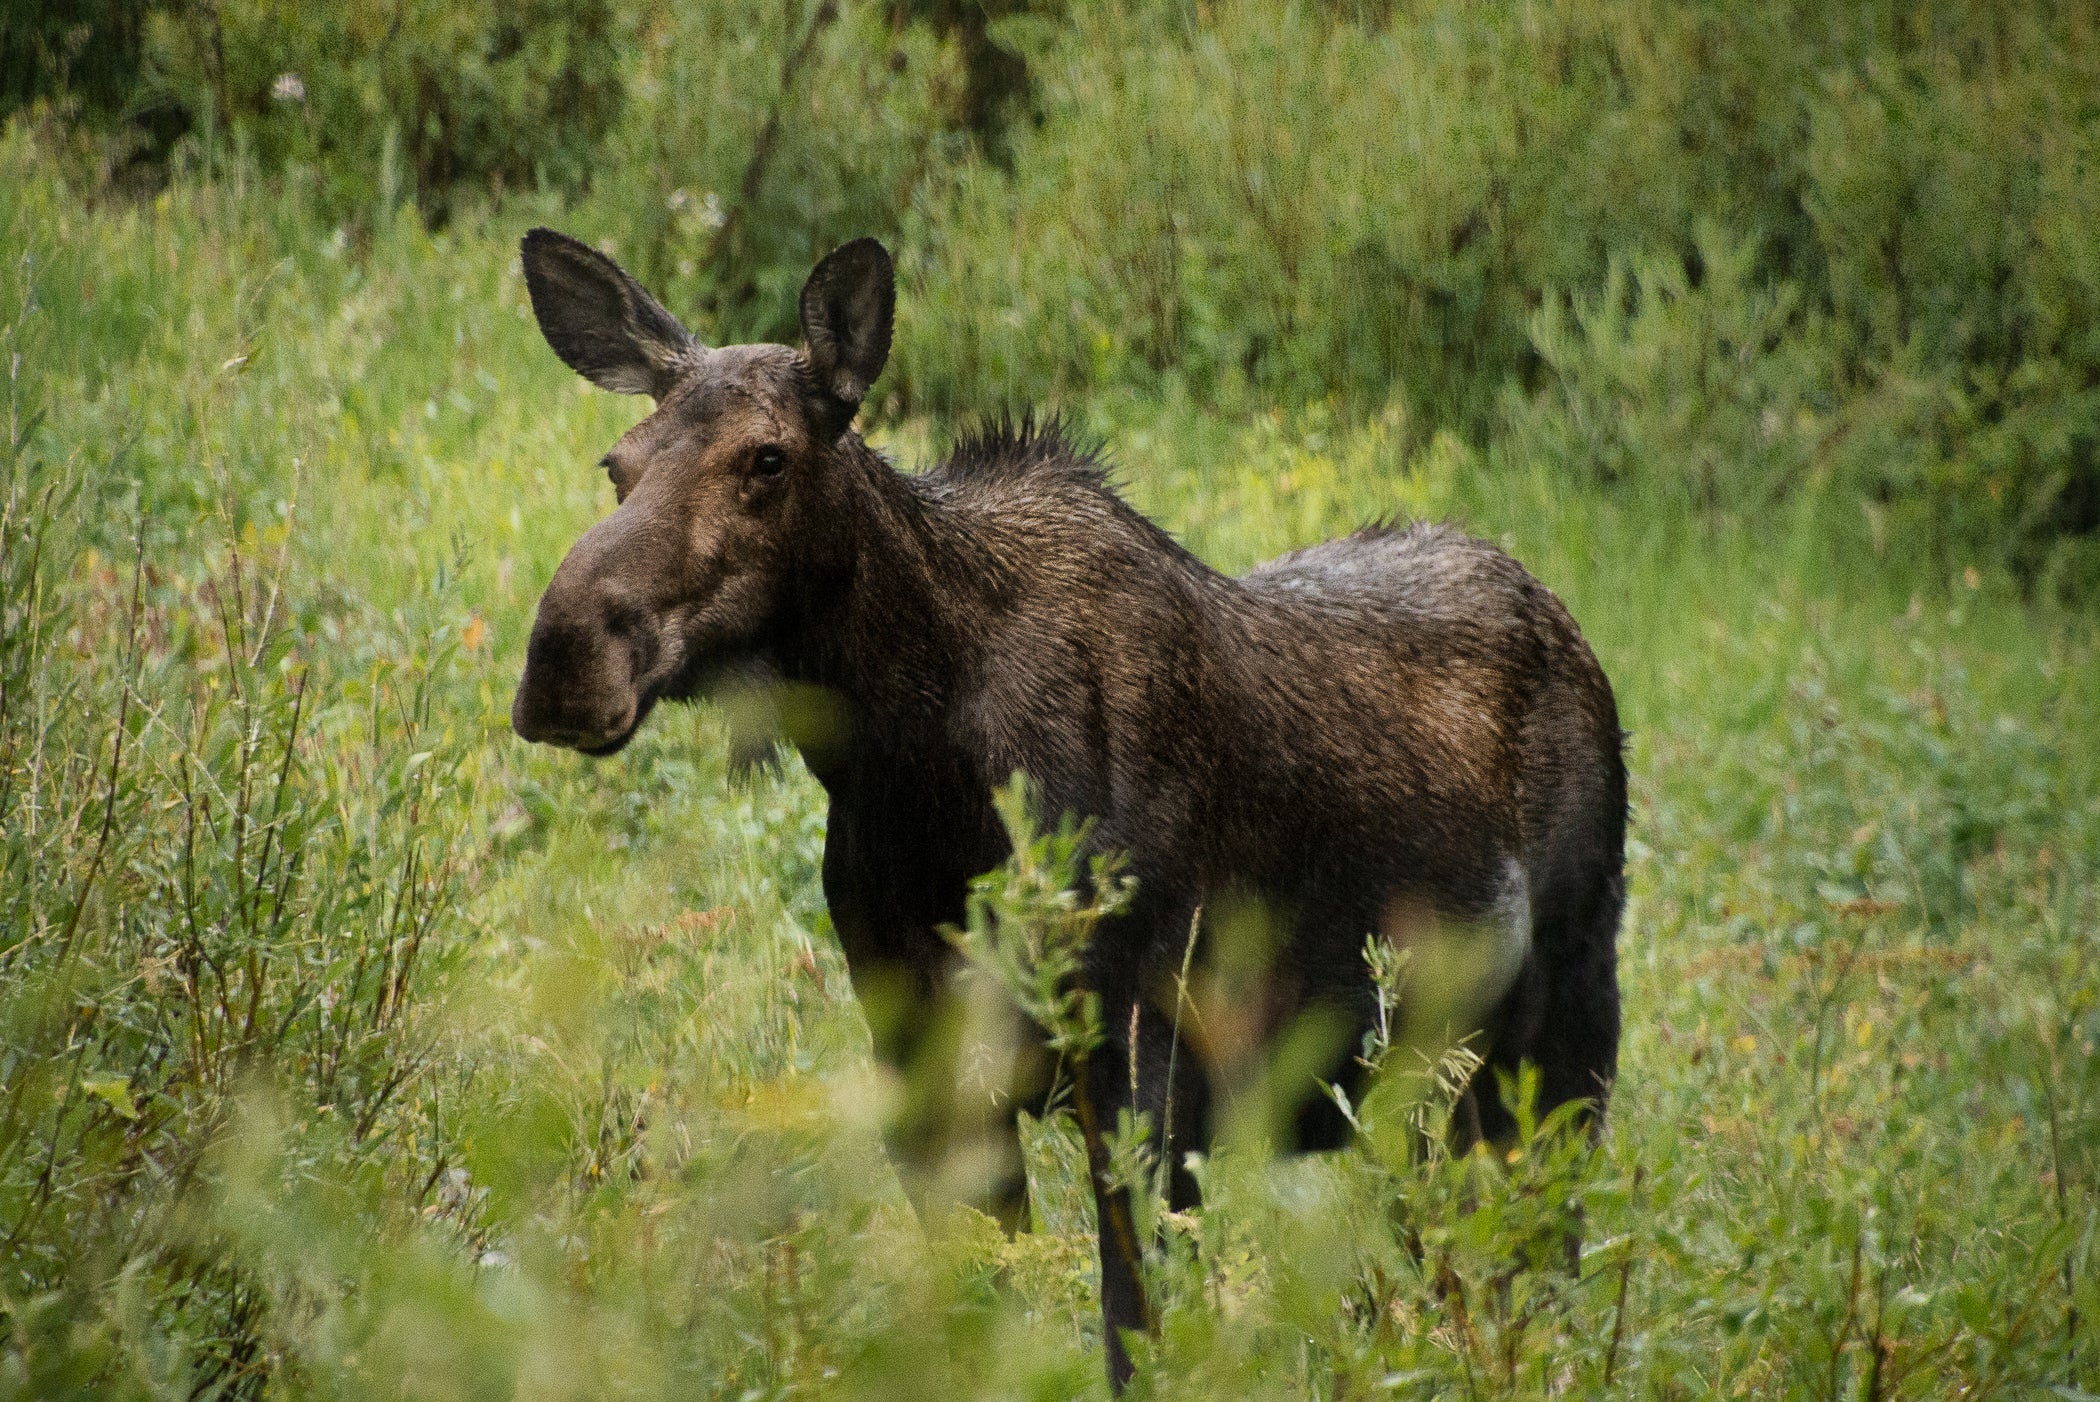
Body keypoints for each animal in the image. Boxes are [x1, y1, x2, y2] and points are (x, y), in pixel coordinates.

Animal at [508, 227, 1621, 1376]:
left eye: (767, 457)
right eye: (618, 464)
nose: (565, 655)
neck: (920, 777)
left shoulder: (1145, 1064)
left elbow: (1134, 1330)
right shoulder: (918, 1057)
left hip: (1568, 1022)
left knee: (1547, 1254)